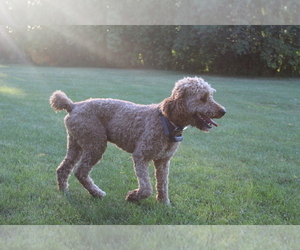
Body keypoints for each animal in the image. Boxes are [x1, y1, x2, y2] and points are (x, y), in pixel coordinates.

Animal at [50, 77, 226, 204]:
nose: (223, 111)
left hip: (77, 143)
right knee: (80, 172)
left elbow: (163, 184)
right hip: (95, 144)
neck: (166, 121)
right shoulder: (141, 156)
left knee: (63, 169)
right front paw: (133, 196)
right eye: (203, 98)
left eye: (210, 96)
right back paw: (97, 193)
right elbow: (147, 188)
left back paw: (64, 191)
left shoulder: (163, 161)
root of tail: (73, 105)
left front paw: (164, 204)